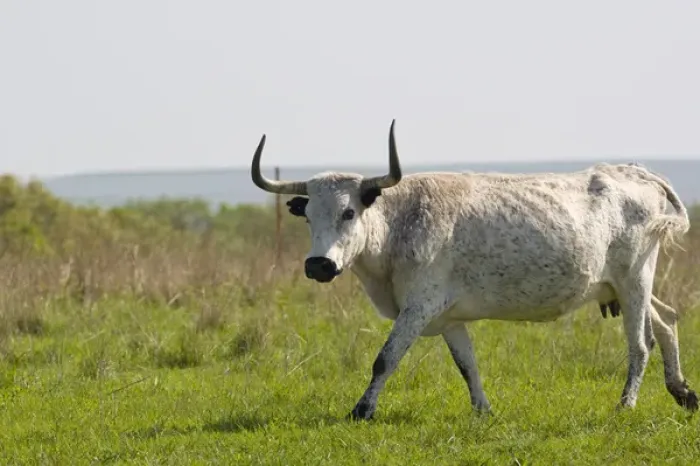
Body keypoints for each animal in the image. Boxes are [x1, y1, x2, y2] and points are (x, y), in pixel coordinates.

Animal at [249, 120, 697, 420]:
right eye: (308, 216)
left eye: (348, 212)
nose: (319, 264)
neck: (400, 222)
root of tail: (634, 171)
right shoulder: (449, 318)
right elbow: (467, 365)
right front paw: (483, 410)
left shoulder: (418, 308)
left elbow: (385, 358)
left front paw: (361, 410)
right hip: (624, 285)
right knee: (667, 320)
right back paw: (682, 392)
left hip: (634, 278)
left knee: (640, 344)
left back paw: (626, 404)